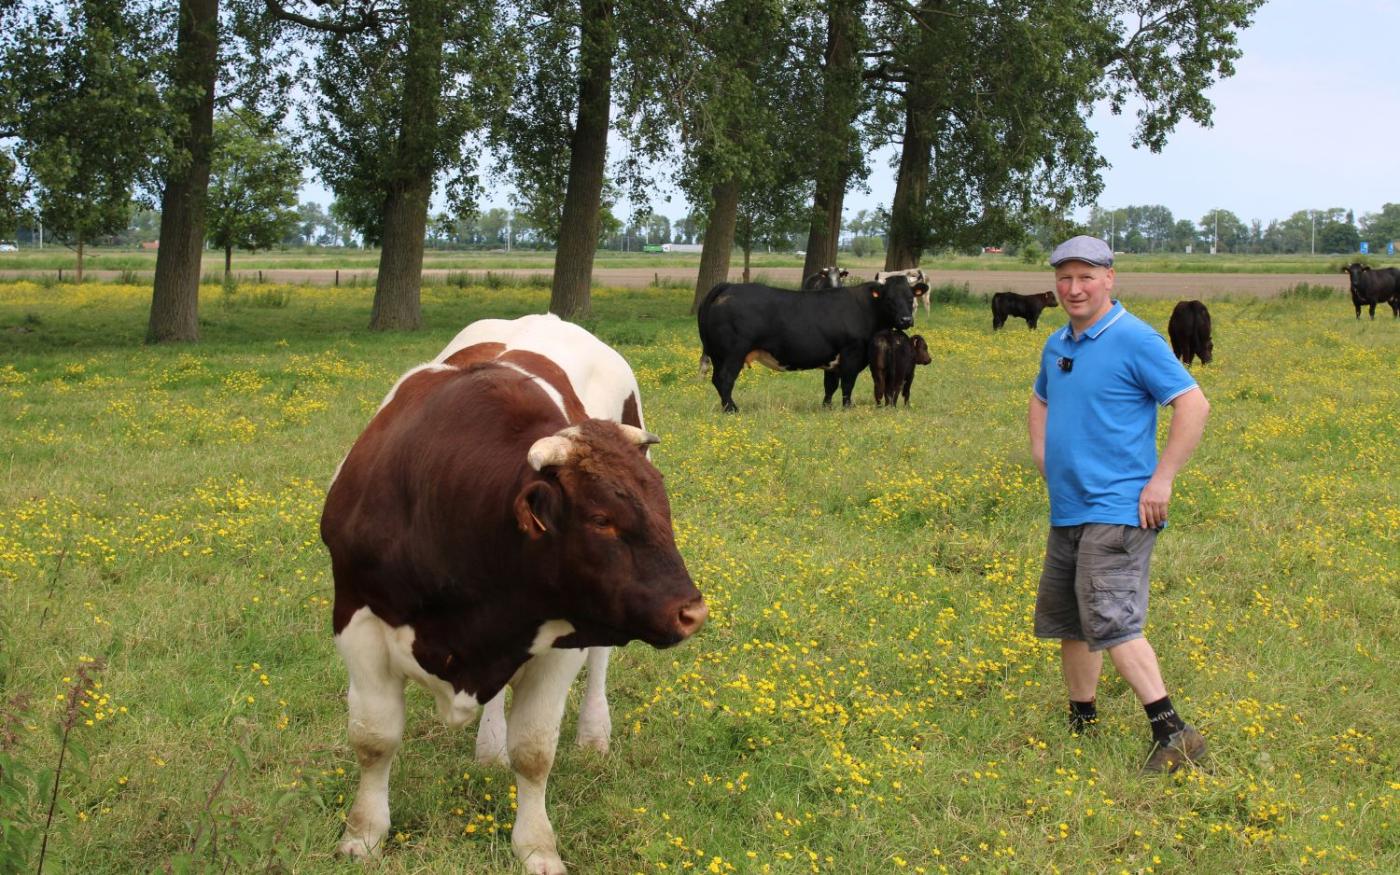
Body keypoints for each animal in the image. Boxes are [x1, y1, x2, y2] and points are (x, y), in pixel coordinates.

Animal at [322, 315, 705, 873]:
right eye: (602, 520)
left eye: (663, 508)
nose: (692, 611)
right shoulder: (359, 620)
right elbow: (374, 738)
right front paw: (364, 834)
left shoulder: (563, 637)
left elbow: (535, 749)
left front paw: (537, 847)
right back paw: (489, 746)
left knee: (600, 662)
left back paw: (594, 734)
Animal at [697, 274, 929, 411]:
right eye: (889, 300)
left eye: (911, 298)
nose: (906, 320)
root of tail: (729, 287)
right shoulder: (851, 352)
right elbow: (847, 384)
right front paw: (847, 407)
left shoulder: (833, 360)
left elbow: (830, 385)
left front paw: (826, 407)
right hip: (733, 353)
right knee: (725, 379)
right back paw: (732, 409)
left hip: (718, 354)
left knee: (717, 380)